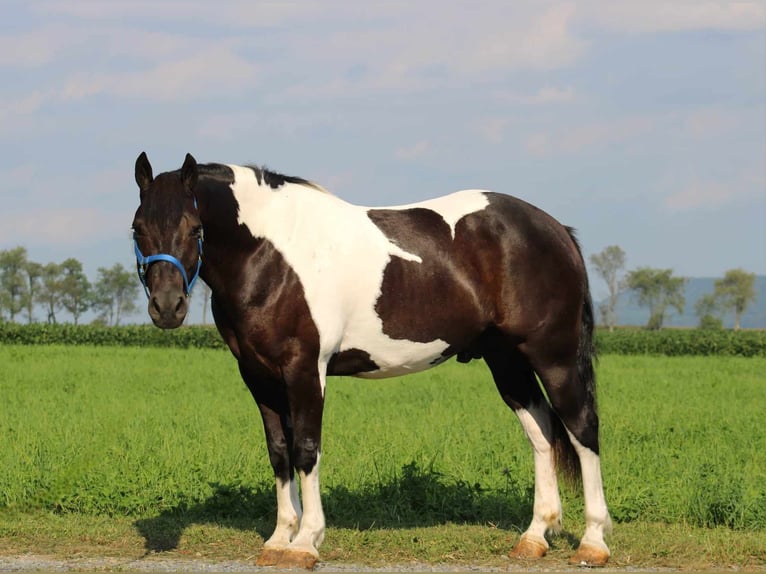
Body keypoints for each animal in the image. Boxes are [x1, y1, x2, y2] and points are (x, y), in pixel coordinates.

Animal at [130, 153, 612, 572]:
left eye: (195, 228)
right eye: (137, 229)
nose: (167, 308)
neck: (272, 254)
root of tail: (554, 228)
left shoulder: (305, 370)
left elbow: (307, 450)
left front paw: (306, 543)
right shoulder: (258, 376)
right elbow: (279, 453)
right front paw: (279, 538)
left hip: (554, 356)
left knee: (581, 429)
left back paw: (593, 542)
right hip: (506, 360)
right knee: (542, 434)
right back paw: (534, 537)